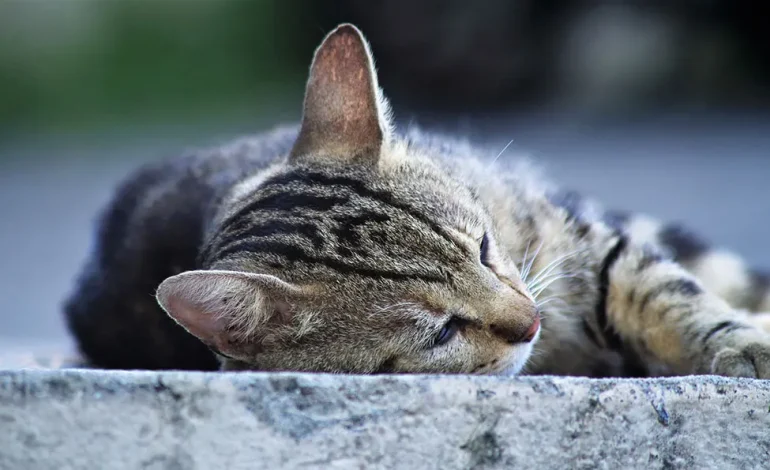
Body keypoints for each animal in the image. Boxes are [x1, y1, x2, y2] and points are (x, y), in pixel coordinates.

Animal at [63, 24, 768, 378]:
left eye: (483, 248)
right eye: (442, 332)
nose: (531, 322)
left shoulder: (587, 242)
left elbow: (669, 295)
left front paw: (742, 341)